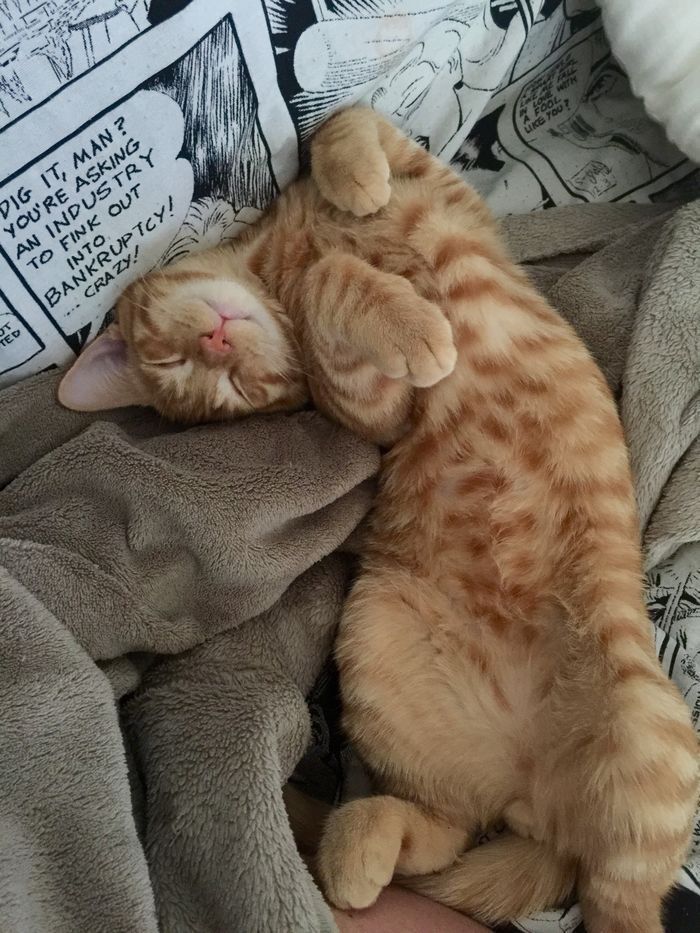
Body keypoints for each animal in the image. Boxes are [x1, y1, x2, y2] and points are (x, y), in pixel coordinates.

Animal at [58, 107, 696, 932]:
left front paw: (355, 180)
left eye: (218, 379)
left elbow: (346, 121)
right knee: (467, 841)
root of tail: (534, 800)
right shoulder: (375, 409)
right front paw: (410, 319)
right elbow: (332, 284)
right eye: (194, 374)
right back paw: (354, 850)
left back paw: (354, 848)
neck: (278, 255)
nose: (218, 341)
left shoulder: (436, 191)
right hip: (390, 649)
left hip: (645, 735)